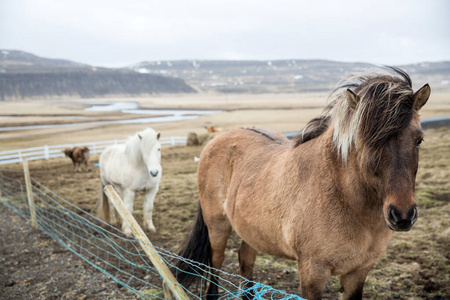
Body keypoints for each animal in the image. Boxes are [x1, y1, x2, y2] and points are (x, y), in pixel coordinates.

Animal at [174, 68, 430, 300]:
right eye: (365, 142)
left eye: (419, 140)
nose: (402, 215)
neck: (346, 201)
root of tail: (217, 139)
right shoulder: (312, 273)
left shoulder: (358, 272)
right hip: (217, 227)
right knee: (215, 265)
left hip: (250, 230)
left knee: (245, 260)